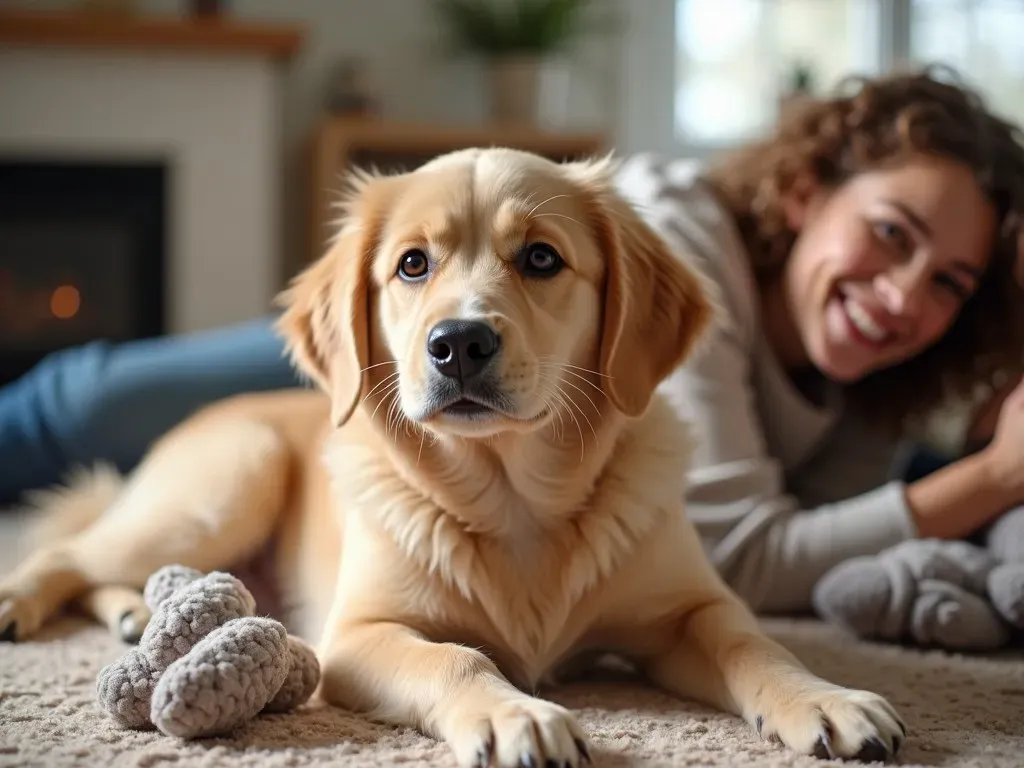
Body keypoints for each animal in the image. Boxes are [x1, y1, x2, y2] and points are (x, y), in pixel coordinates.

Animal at [0, 147, 905, 765]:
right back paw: (25, 600)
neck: (515, 498)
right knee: (65, 552)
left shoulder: (691, 611)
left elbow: (758, 644)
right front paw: (515, 714)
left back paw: (132, 613)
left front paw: (826, 698)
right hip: (225, 486)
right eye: (412, 264)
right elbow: (458, 658)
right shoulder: (357, 637)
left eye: (541, 257)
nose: (459, 343)